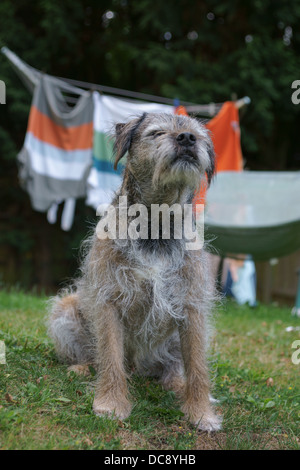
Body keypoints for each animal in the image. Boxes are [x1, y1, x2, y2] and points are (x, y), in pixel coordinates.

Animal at [48, 112, 221, 432]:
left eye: (198, 136)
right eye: (157, 133)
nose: (187, 139)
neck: (157, 222)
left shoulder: (192, 307)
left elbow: (198, 367)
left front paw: (202, 413)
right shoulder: (108, 300)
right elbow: (110, 356)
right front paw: (111, 404)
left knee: (175, 367)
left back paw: (175, 382)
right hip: (65, 310)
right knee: (94, 355)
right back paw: (81, 368)